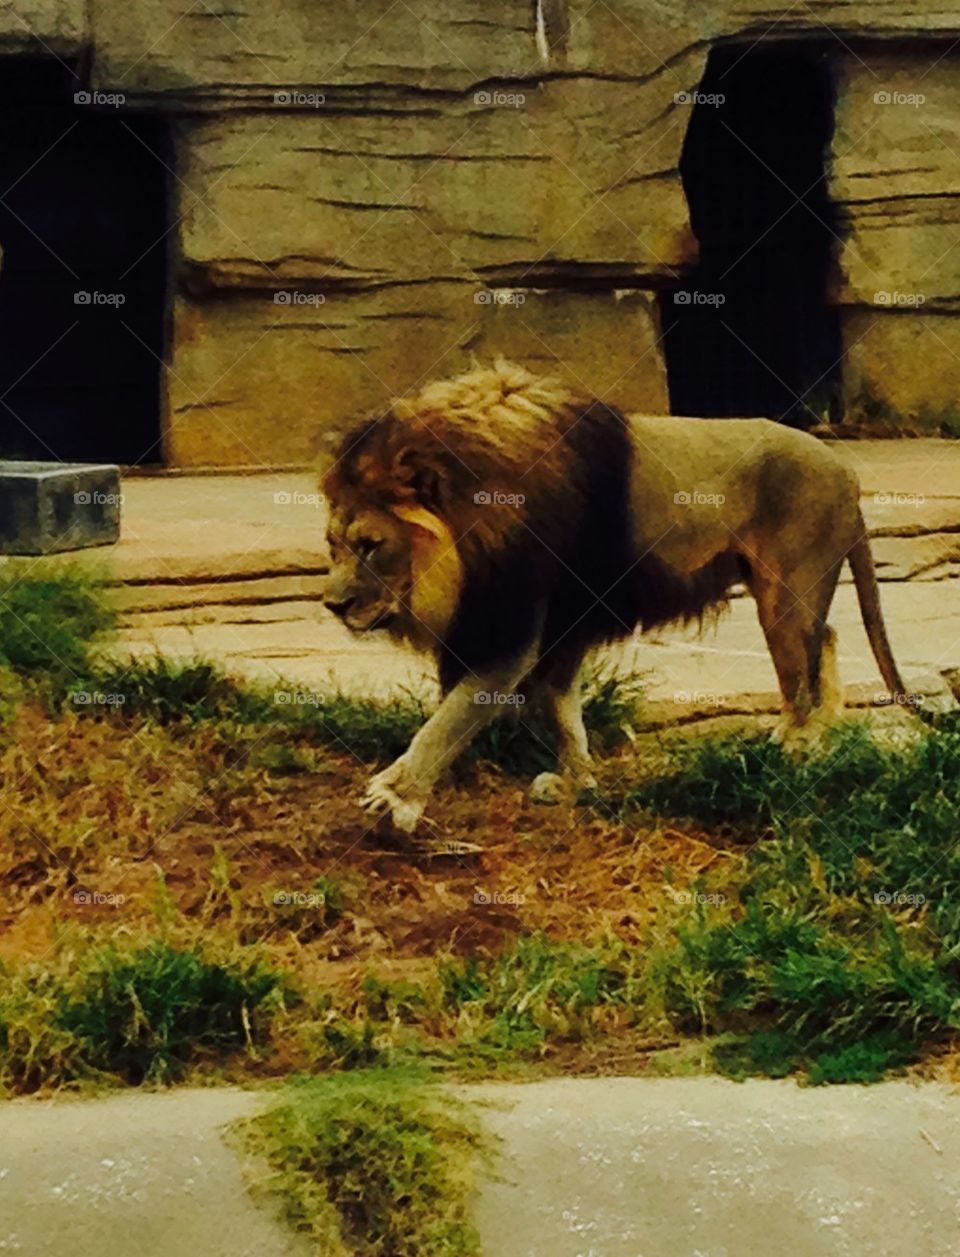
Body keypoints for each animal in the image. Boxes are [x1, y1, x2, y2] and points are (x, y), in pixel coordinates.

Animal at [322, 360, 910, 834]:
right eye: (333, 545)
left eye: (371, 546)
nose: (333, 604)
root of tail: (849, 474)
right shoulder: (558, 622)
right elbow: (561, 706)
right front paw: (575, 783)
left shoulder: (514, 630)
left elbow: (449, 720)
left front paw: (394, 797)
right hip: (779, 591)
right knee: (823, 643)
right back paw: (809, 743)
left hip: (787, 592)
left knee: (802, 676)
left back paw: (789, 758)